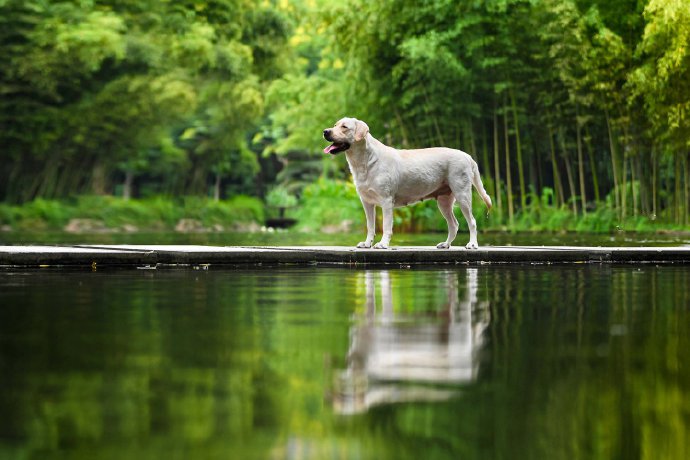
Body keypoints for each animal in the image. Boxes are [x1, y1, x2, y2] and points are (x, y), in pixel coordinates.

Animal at [322, 117, 490, 250]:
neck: (364, 161)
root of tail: (468, 156)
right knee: (454, 225)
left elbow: (386, 226)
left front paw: (382, 244)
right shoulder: (367, 202)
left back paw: (472, 244)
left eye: (344, 127)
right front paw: (367, 243)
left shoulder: (386, 201)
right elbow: (370, 226)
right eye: (335, 125)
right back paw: (446, 244)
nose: (325, 131)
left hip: (462, 195)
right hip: (444, 201)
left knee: (472, 222)